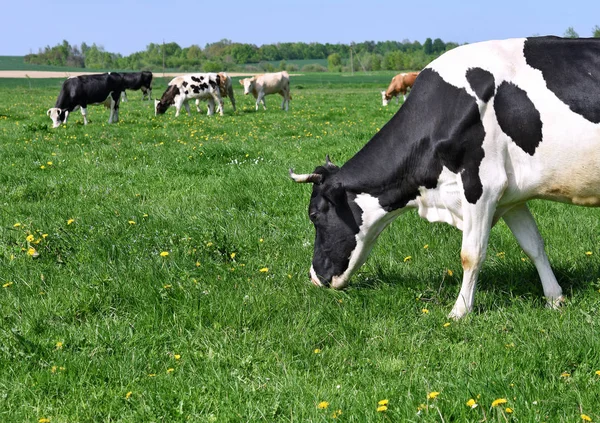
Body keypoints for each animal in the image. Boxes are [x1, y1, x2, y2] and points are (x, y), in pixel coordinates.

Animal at [292, 38, 600, 320]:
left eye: (314, 215)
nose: (314, 277)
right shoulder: (511, 196)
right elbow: (533, 245)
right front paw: (554, 298)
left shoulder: (481, 185)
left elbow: (471, 254)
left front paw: (459, 312)